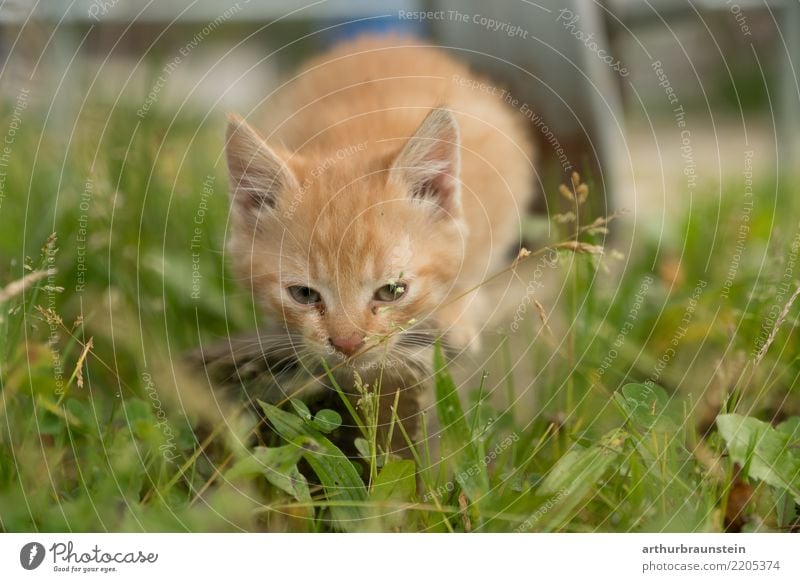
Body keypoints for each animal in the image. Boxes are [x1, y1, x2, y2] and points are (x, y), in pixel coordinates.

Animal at [222, 36, 536, 402]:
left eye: (392, 291)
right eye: (303, 294)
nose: (347, 344)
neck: (351, 140)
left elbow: (470, 263)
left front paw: (455, 317)